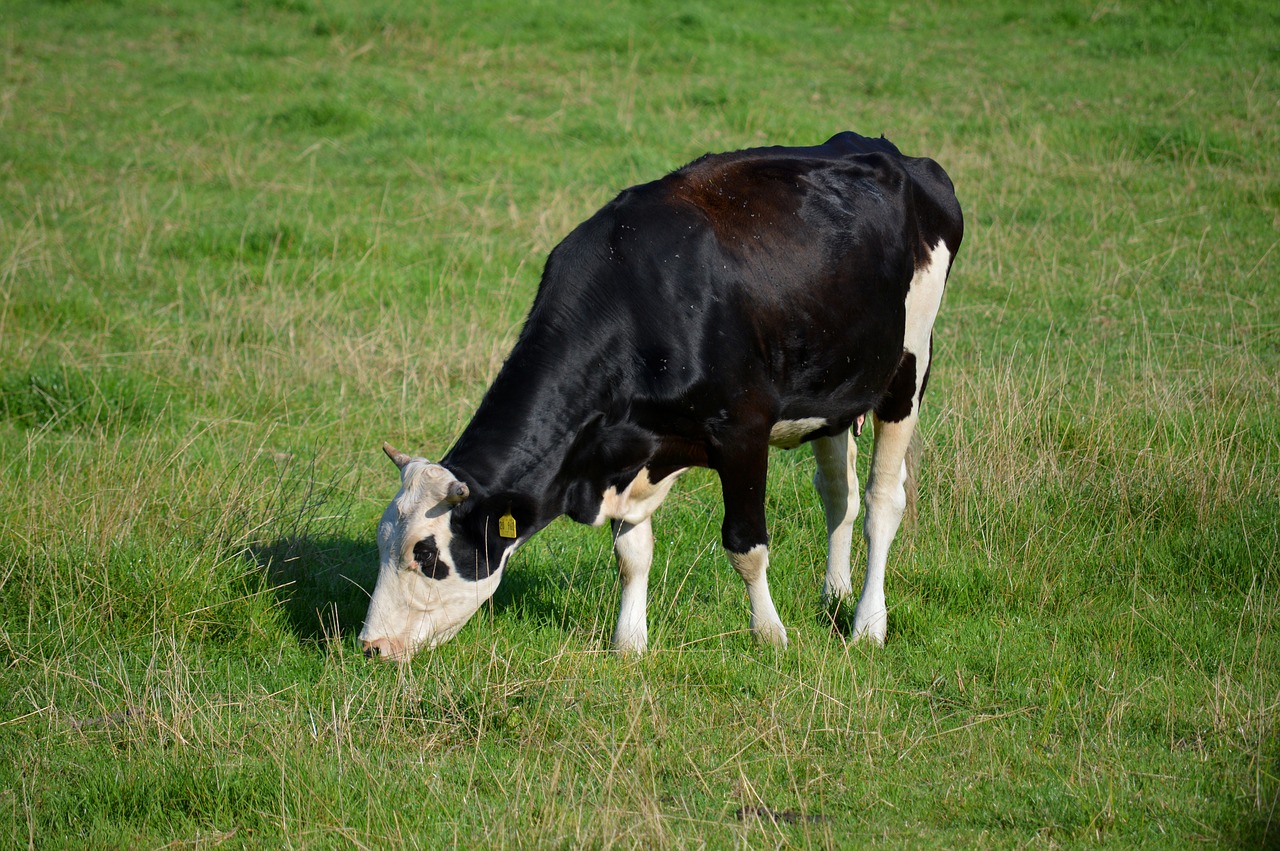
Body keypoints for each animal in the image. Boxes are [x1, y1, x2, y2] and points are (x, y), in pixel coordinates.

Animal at [358, 134, 962, 665]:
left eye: (427, 556)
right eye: (382, 543)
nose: (371, 646)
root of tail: (891, 153)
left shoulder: (743, 430)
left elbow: (746, 545)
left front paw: (770, 636)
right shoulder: (630, 451)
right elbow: (631, 556)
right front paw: (629, 644)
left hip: (909, 366)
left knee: (883, 502)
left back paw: (867, 624)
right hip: (834, 391)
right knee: (840, 495)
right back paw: (834, 595)